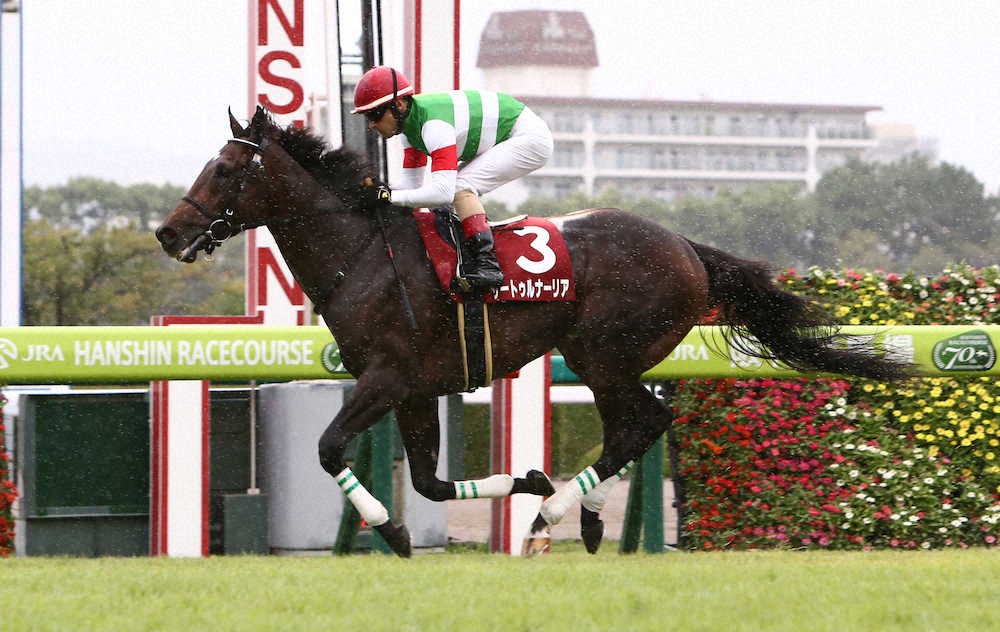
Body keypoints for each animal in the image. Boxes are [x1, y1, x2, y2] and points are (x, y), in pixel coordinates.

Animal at [155, 106, 909, 557]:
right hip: (601, 358)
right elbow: (430, 483)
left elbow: (328, 447)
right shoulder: (415, 388)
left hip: (603, 353)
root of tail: (687, 246)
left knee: (645, 421)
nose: (169, 232)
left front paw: (394, 530)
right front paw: (531, 479)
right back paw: (581, 513)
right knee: (633, 426)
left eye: (226, 167)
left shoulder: (387, 376)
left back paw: (561, 519)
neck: (364, 254)